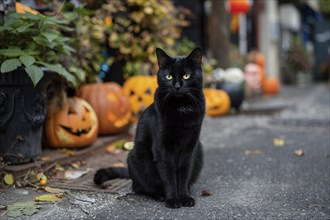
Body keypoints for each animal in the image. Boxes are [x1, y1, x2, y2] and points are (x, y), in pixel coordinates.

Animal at [94, 47, 205, 208]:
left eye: (186, 75)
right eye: (169, 76)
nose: (177, 86)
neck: (181, 108)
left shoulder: (190, 148)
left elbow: (184, 175)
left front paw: (185, 197)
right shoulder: (162, 149)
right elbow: (169, 178)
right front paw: (173, 199)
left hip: (199, 150)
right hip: (136, 158)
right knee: (139, 187)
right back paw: (160, 196)